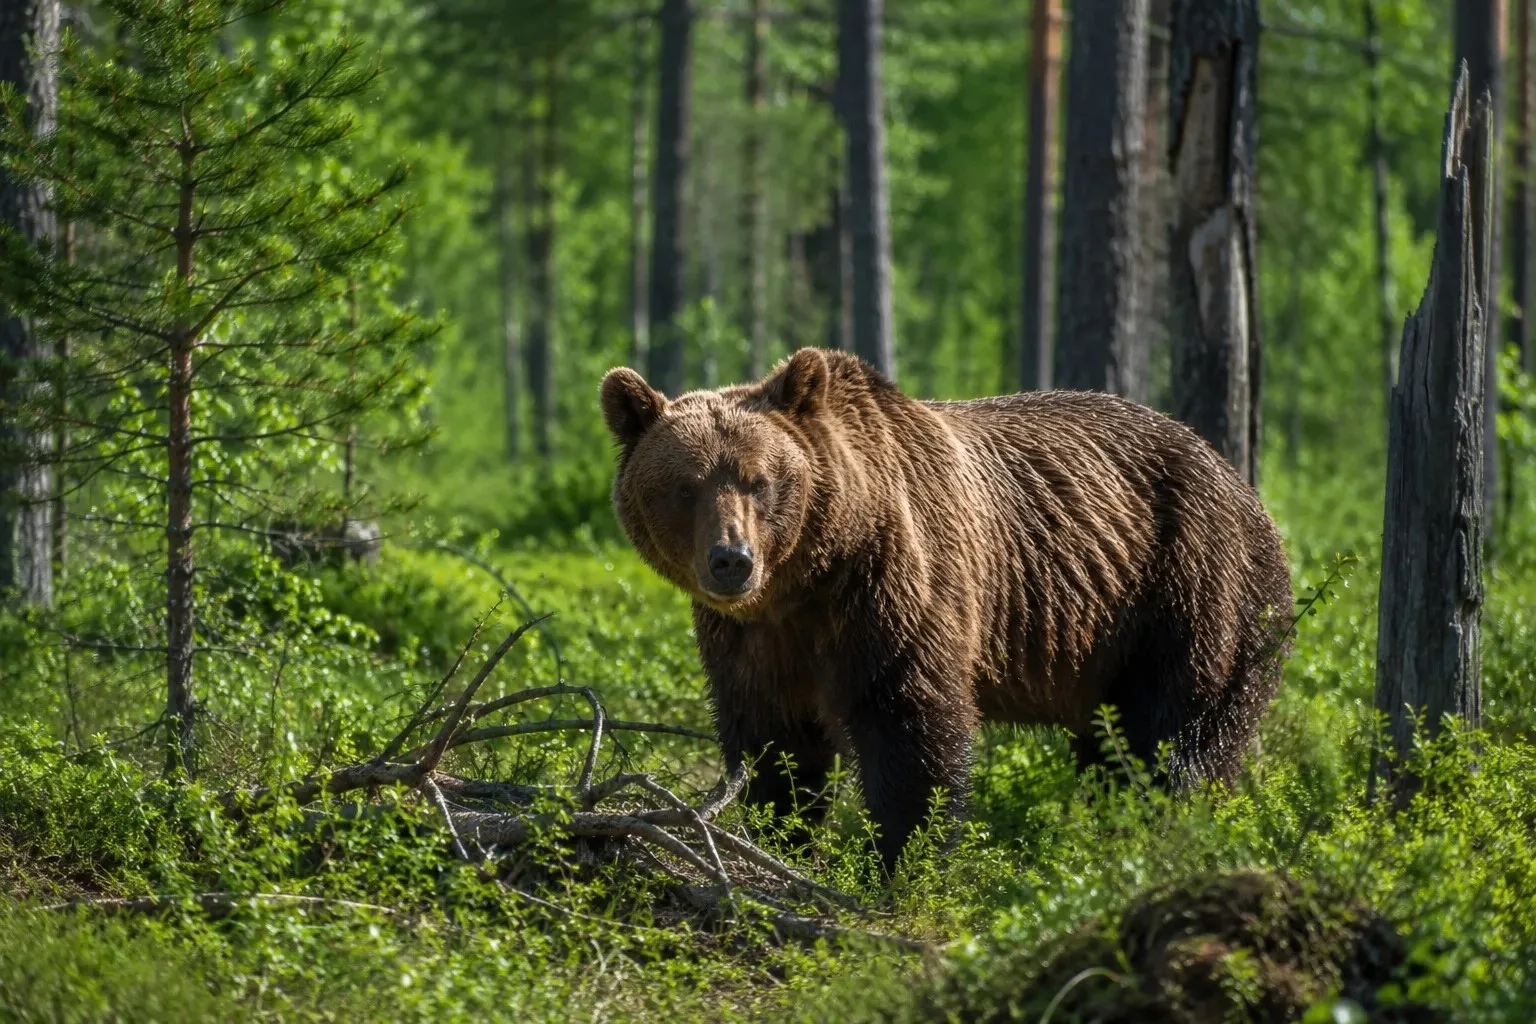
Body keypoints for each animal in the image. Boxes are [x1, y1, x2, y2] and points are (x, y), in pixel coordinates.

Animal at [600, 348, 1292, 870]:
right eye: (685, 486)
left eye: (759, 480)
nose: (732, 560)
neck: (804, 583)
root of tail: (1241, 482)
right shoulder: (750, 641)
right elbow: (776, 743)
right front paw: (783, 835)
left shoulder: (892, 587)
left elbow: (909, 727)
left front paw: (897, 863)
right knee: (1112, 747)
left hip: (1188, 589)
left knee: (1172, 740)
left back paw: (1168, 832)